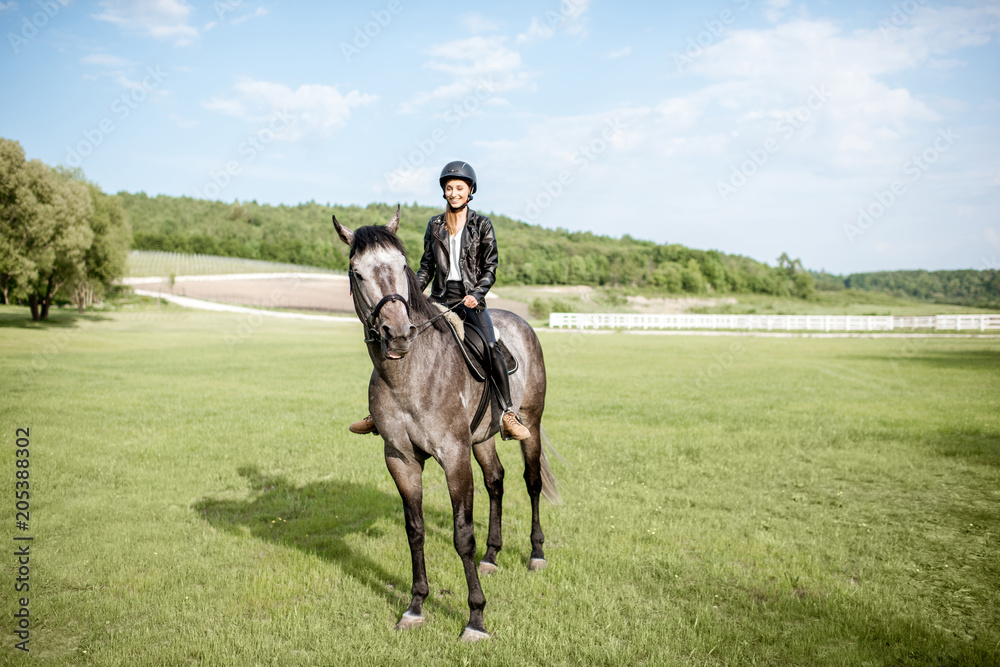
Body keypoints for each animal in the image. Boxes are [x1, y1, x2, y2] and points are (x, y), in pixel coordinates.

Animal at [334, 209, 556, 640]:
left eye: (401, 265)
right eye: (357, 272)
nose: (398, 334)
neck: (410, 376)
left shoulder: (453, 457)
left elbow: (462, 535)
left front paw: (476, 618)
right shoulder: (401, 459)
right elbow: (415, 529)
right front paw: (416, 605)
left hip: (531, 425)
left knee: (532, 481)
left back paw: (536, 553)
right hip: (481, 439)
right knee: (496, 481)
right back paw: (493, 555)